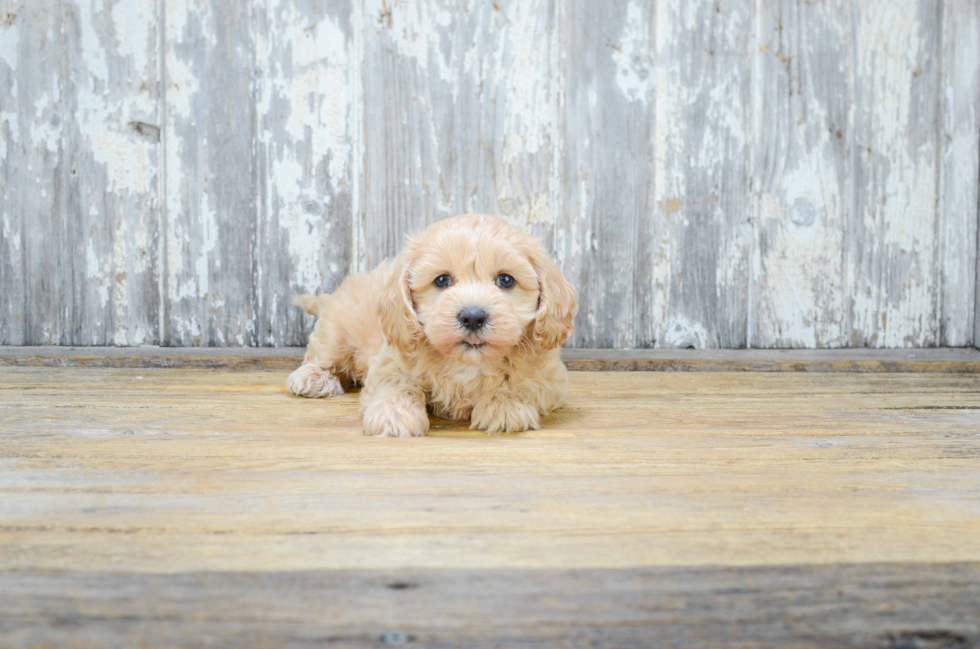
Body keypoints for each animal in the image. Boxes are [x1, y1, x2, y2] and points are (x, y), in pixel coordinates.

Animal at [286, 213, 576, 436]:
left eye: (506, 280)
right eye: (442, 280)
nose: (473, 316)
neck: (468, 363)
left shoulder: (550, 378)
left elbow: (522, 385)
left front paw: (504, 406)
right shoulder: (391, 359)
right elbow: (395, 385)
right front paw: (393, 414)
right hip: (337, 330)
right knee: (322, 354)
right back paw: (312, 378)